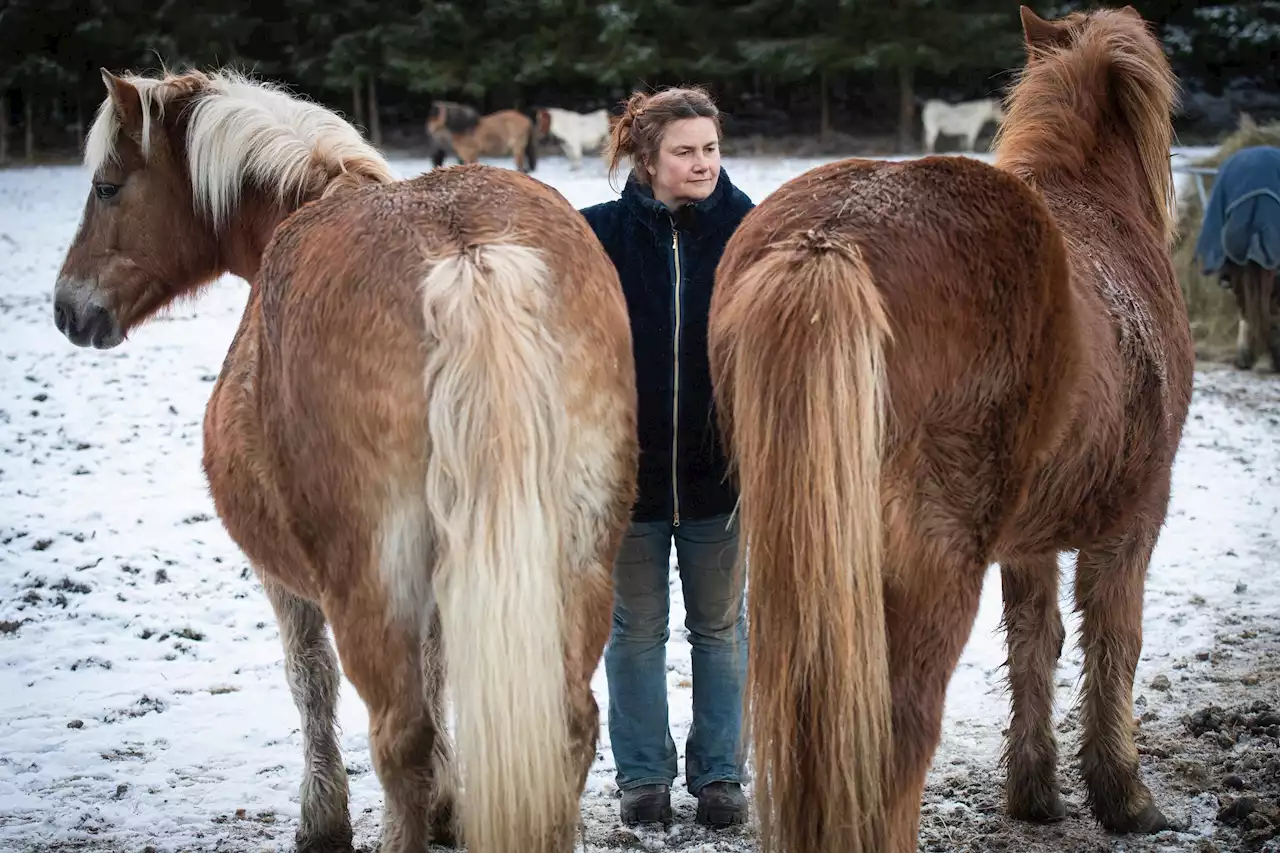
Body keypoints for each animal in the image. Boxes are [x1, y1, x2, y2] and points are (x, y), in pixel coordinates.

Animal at [51, 68, 640, 850]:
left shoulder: (286, 580)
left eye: (108, 186)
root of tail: (465, 256)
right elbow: (441, 669)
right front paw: (451, 805)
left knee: (398, 738)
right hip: (577, 561)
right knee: (569, 725)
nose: (68, 308)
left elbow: (311, 680)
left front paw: (322, 818)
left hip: (370, 584)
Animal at [711, 6, 1187, 850]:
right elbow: (1112, 644)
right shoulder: (1135, 518)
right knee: (897, 744)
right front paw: (1125, 797)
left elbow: (1036, 640)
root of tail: (829, 240)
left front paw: (1035, 790)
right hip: (929, 572)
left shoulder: (1029, 541)